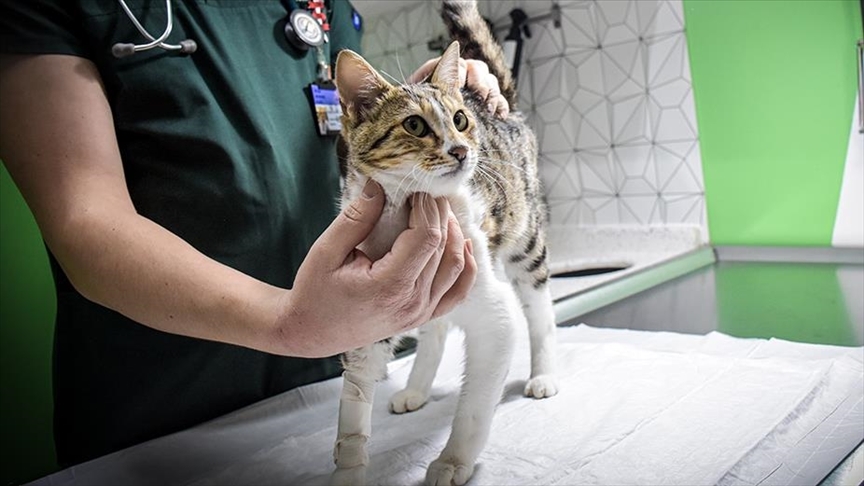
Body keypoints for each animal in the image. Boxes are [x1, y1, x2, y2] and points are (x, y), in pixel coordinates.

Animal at [330, 1, 558, 484]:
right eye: (414, 125)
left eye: (459, 120)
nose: (461, 150)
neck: (407, 213)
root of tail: (503, 106)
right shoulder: (364, 308)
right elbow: (353, 399)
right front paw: (350, 466)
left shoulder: (495, 315)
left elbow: (474, 405)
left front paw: (453, 460)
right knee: (434, 327)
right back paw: (415, 388)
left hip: (525, 238)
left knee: (539, 306)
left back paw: (544, 373)